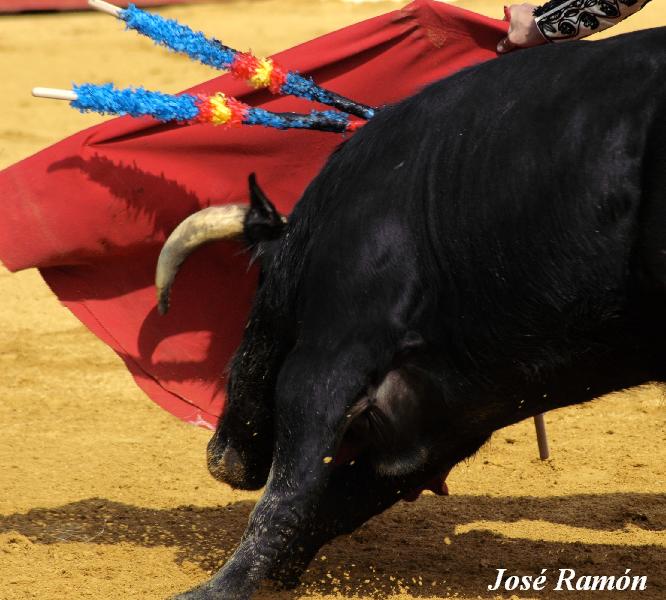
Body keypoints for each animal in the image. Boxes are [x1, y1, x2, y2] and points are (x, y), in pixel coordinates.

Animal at [172, 28, 664, 600]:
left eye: (259, 283)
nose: (221, 457)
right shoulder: (461, 404)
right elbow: (348, 494)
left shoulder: (330, 358)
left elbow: (291, 492)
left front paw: (214, 588)